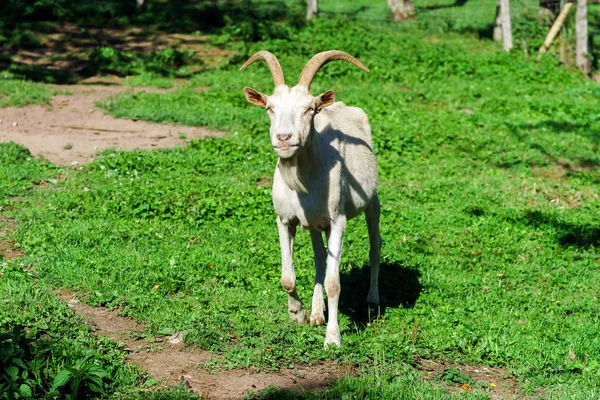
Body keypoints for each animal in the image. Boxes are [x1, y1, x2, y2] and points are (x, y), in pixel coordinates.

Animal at [239, 50, 380, 346]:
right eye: (269, 108)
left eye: (309, 109)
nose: (284, 138)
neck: (303, 183)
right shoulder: (285, 219)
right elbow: (288, 277)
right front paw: (299, 313)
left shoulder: (337, 221)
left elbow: (334, 282)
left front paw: (333, 338)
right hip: (316, 224)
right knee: (319, 257)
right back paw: (317, 312)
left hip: (372, 202)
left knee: (375, 247)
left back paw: (373, 299)